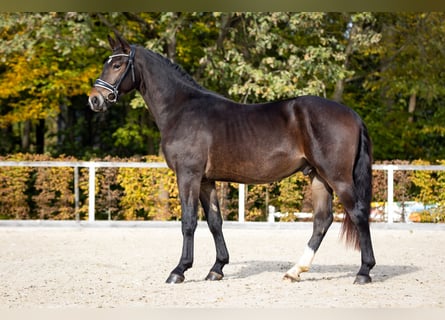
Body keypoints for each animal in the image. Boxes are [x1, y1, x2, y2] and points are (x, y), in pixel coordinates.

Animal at [89, 32, 374, 284]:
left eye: (117, 64)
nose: (95, 100)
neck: (181, 108)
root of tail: (352, 114)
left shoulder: (188, 175)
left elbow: (189, 222)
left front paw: (179, 270)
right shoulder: (206, 180)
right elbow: (215, 222)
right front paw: (217, 268)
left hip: (337, 177)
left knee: (358, 213)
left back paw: (364, 272)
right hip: (318, 177)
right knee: (322, 221)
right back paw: (295, 271)